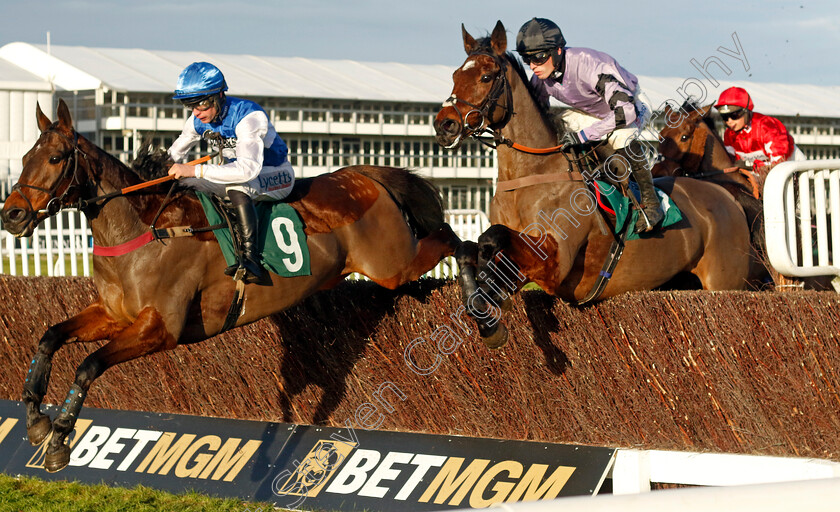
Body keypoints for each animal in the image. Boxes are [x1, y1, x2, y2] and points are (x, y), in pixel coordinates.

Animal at [0, 99, 460, 472]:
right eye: (24, 156)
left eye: (56, 157)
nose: (12, 215)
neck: (144, 228)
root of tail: (364, 175)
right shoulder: (115, 315)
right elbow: (49, 336)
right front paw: (35, 418)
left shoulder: (160, 329)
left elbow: (88, 365)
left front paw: (59, 437)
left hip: (393, 264)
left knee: (453, 240)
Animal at [434, 20, 748, 348]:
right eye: (455, 75)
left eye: (486, 76)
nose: (444, 125)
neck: (527, 177)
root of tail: (727, 195)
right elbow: (467, 247)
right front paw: (484, 309)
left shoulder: (554, 262)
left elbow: (491, 237)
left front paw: (492, 298)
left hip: (725, 281)